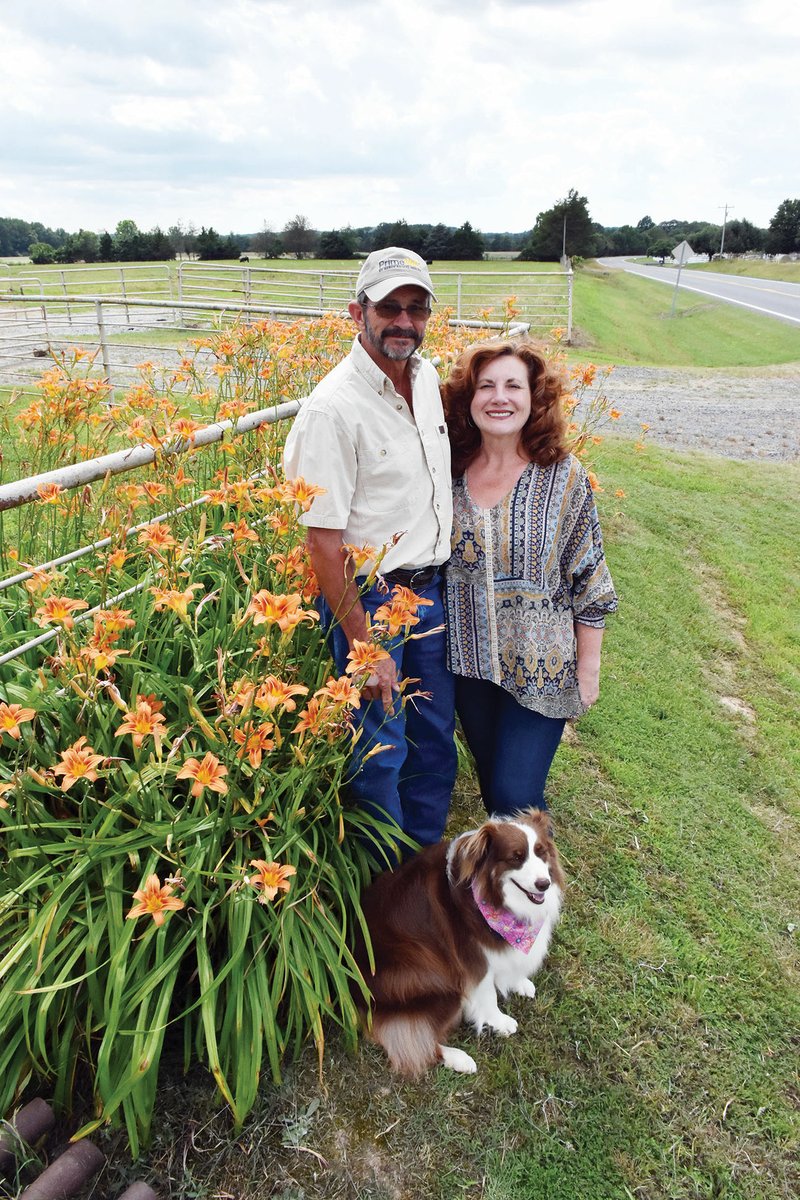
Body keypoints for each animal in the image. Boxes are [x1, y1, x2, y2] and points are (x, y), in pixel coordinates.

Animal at [357, 806, 563, 1080]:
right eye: (516, 857)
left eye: (541, 852)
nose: (544, 884)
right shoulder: (472, 960)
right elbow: (487, 995)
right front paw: (500, 1022)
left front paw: (519, 982)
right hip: (438, 984)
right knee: (411, 1042)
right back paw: (459, 1058)